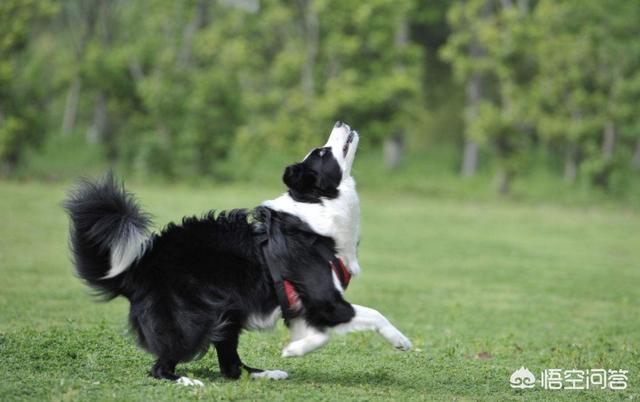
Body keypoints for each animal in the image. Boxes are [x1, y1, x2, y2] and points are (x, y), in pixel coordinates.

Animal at [65, 121, 410, 384]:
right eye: (322, 152)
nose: (339, 122)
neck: (317, 206)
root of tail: (137, 268)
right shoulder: (325, 298)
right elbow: (372, 314)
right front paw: (400, 340)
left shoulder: (303, 304)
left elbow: (322, 332)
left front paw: (296, 348)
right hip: (193, 321)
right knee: (160, 367)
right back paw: (186, 380)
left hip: (227, 312)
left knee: (231, 366)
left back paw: (265, 373)